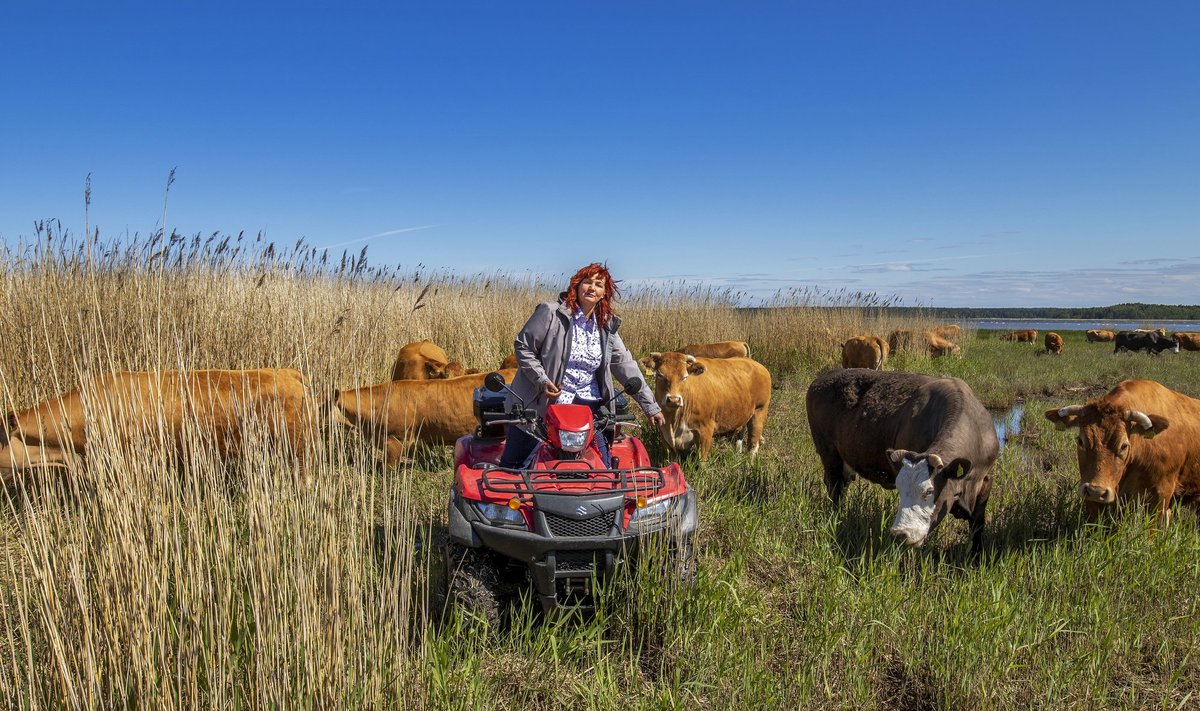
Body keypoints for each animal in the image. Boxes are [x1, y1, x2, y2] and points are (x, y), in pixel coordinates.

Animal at [643, 353, 772, 463]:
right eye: (660, 375)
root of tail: (757, 365)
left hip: (759, 411)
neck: (674, 420)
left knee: (753, 444)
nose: (674, 399)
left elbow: (702, 463)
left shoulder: (706, 431)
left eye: (684, 377)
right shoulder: (664, 433)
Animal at [806, 367, 1003, 554]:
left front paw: (976, 556)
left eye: (929, 491)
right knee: (835, 489)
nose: (900, 533)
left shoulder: (987, 480)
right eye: (900, 489)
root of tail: (825, 376)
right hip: (830, 456)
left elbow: (978, 523)